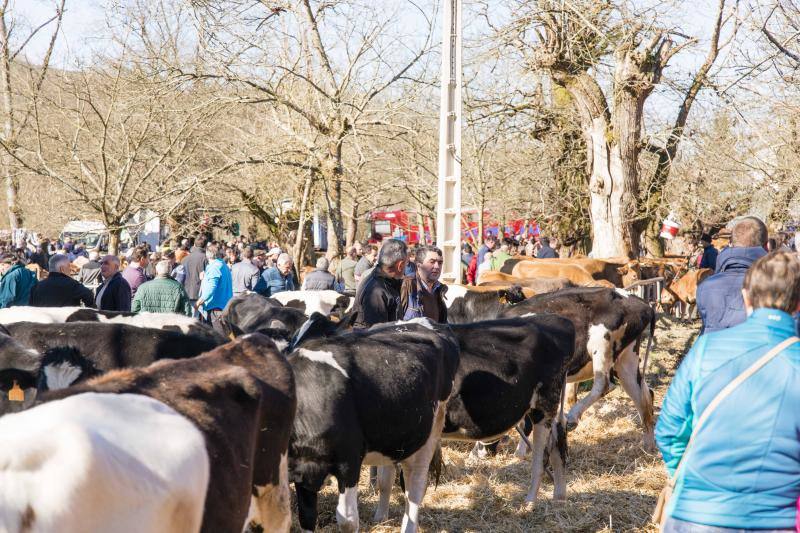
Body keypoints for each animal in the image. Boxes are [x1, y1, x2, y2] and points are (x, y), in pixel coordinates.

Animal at [290, 318, 462, 528]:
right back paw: (381, 517)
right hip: (396, 437)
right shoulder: (301, 469)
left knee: (415, 486)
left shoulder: (348, 462)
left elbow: (347, 520)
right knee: (387, 479)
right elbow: (306, 516)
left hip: (429, 432)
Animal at [438, 314, 576, 504]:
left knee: (541, 459)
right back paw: (559, 498)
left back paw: (529, 503)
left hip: (545, 406)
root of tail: (558, 320)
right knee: (558, 440)